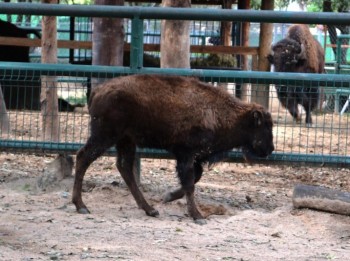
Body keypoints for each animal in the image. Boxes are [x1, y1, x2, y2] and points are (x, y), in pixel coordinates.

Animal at [74, 73, 274, 223]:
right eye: (264, 126)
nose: (270, 149)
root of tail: (98, 91)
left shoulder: (192, 157)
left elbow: (194, 179)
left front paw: (168, 196)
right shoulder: (187, 154)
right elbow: (190, 182)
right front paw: (198, 216)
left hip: (126, 141)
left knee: (124, 167)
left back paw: (150, 209)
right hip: (105, 137)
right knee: (83, 157)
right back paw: (81, 206)